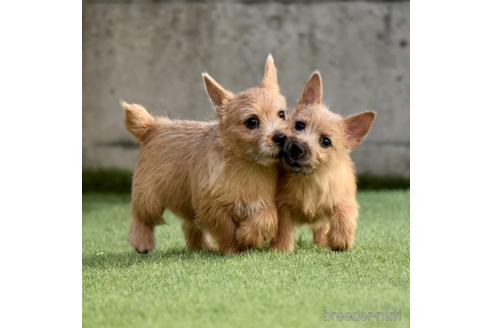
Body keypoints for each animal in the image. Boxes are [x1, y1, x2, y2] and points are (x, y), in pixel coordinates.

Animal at [121, 55, 288, 254]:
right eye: (252, 122)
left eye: (282, 114)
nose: (281, 137)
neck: (248, 164)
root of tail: (153, 126)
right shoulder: (211, 205)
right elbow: (226, 228)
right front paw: (234, 247)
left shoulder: (265, 201)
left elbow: (268, 218)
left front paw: (248, 236)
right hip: (149, 197)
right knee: (141, 216)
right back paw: (142, 242)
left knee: (189, 224)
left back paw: (201, 246)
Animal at [270, 71, 374, 251]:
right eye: (299, 125)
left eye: (325, 141)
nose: (296, 147)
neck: (308, 179)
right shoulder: (283, 205)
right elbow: (284, 228)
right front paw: (282, 249)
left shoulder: (343, 197)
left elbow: (343, 216)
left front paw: (340, 241)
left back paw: (322, 242)